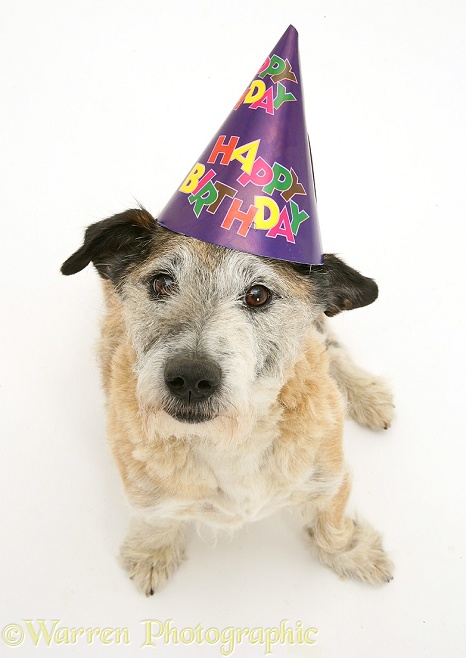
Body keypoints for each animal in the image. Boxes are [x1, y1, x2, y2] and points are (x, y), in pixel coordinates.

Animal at [62, 206, 396, 596]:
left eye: (257, 295)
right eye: (162, 283)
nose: (191, 378)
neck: (231, 439)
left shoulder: (328, 477)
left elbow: (331, 522)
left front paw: (354, 554)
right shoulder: (142, 490)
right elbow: (154, 518)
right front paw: (151, 555)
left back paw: (367, 394)